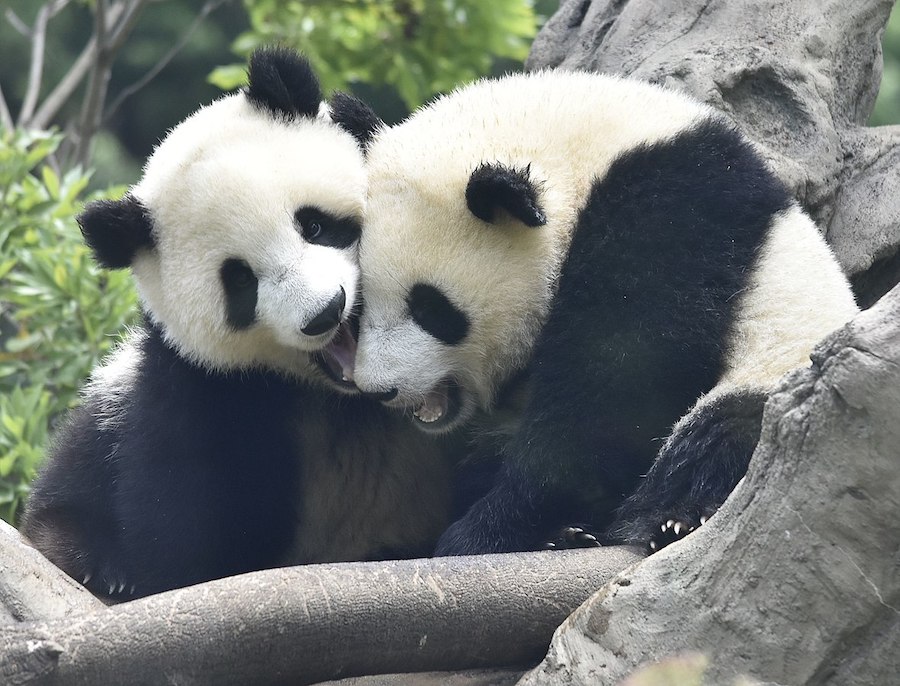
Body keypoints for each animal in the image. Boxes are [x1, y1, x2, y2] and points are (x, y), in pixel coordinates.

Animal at [19, 48, 458, 600]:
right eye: (242, 282)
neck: (342, 399)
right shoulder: (201, 388)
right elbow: (181, 527)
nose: (325, 312)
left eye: (314, 224)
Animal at [342, 67, 860, 556]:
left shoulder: (670, 216)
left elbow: (617, 389)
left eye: (431, 309)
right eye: (359, 305)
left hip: (778, 366)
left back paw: (673, 518)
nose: (380, 389)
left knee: (732, 430)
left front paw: (483, 534)